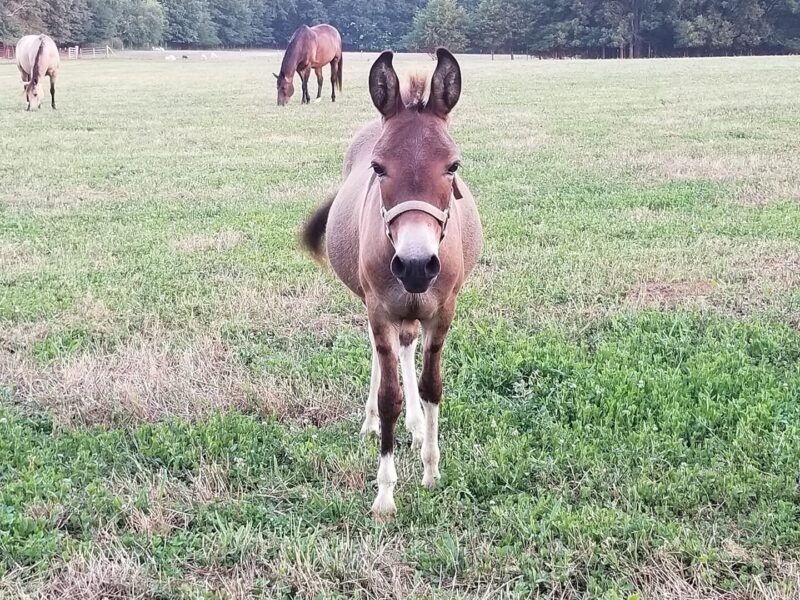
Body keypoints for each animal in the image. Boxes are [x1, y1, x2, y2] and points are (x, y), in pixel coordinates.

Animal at [301, 49, 482, 520]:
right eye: (378, 168)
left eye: (453, 166)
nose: (416, 266)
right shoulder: (379, 308)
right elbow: (388, 397)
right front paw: (385, 494)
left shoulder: (443, 310)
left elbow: (432, 385)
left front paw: (432, 470)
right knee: (382, 354)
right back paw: (373, 422)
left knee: (406, 348)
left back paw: (418, 428)